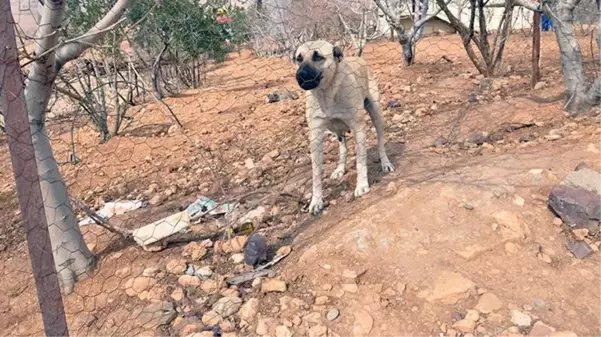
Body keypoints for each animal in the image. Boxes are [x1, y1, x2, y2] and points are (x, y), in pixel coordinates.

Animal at [294, 40, 396, 214]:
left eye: (317, 57)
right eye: (298, 59)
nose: (300, 75)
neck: (327, 95)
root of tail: (359, 58)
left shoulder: (359, 128)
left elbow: (360, 161)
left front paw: (361, 185)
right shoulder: (315, 138)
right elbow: (316, 173)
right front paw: (316, 200)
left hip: (376, 114)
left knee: (380, 141)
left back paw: (385, 163)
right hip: (336, 130)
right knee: (343, 147)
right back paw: (340, 169)